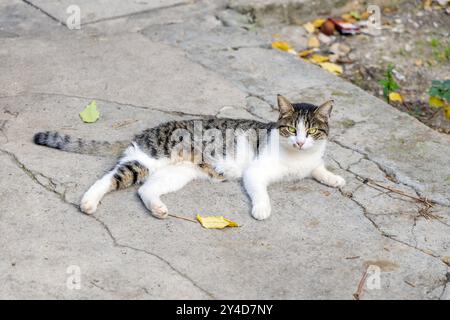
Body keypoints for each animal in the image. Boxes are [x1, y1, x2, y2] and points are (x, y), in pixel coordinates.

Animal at [34, 95, 344, 220]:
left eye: (312, 131)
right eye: (291, 129)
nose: (300, 142)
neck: (297, 159)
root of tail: (146, 131)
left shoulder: (311, 160)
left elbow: (318, 168)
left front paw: (335, 178)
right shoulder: (255, 172)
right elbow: (260, 191)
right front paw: (262, 209)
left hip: (177, 173)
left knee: (145, 190)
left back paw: (158, 208)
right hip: (148, 160)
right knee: (108, 177)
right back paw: (88, 202)